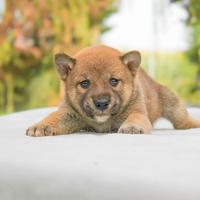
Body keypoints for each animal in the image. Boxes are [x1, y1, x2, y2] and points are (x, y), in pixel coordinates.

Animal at [25, 45, 200, 136]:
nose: (102, 103)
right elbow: (53, 117)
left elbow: (135, 118)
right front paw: (41, 126)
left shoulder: (137, 111)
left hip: (172, 104)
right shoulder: (68, 113)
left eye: (114, 81)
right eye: (85, 83)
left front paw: (132, 127)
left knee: (182, 121)